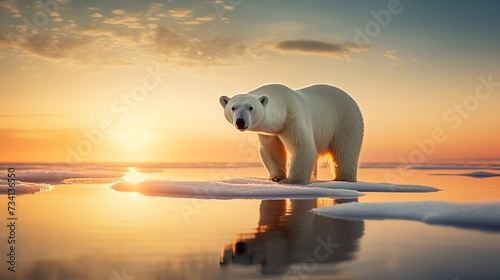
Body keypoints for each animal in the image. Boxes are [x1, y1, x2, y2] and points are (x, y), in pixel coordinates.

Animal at [219, 84, 364, 185]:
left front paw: (291, 180)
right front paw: (275, 177)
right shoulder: (270, 132)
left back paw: (343, 178)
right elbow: (271, 150)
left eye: (251, 107)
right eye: (233, 107)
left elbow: (302, 145)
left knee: (345, 151)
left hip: (346, 121)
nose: (240, 121)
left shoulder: (293, 116)